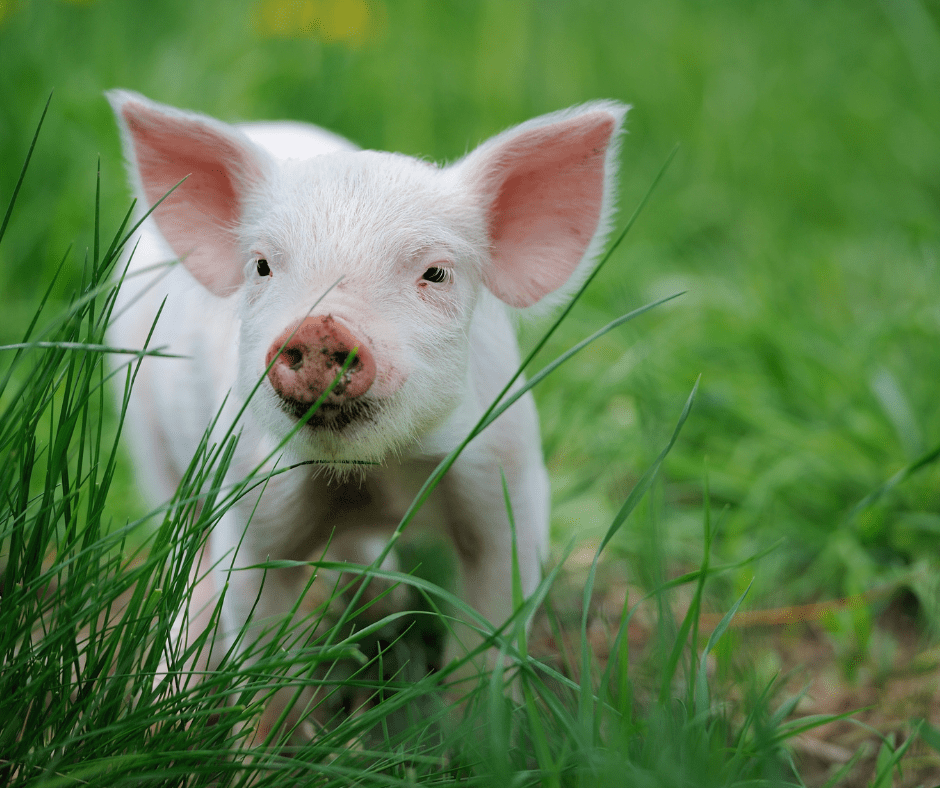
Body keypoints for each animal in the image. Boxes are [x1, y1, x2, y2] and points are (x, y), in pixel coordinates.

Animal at [108, 91, 624, 716]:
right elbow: (257, 638)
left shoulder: (512, 479)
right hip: (144, 429)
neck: (377, 473)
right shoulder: (250, 493)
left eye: (436, 272)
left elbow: (490, 630)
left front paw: (473, 728)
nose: (319, 326)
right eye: (262, 265)